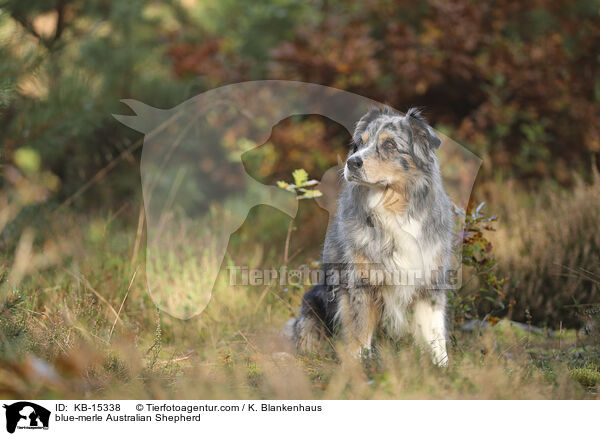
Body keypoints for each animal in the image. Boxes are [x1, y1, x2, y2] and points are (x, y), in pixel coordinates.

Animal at [288, 107, 452, 366]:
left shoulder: (430, 282)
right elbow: (359, 331)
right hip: (311, 302)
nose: (351, 162)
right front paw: (359, 366)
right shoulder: (360, 283)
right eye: (360, 143)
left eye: (389, 145)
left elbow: (435, 334)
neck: (393, 209)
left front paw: (442, 368)